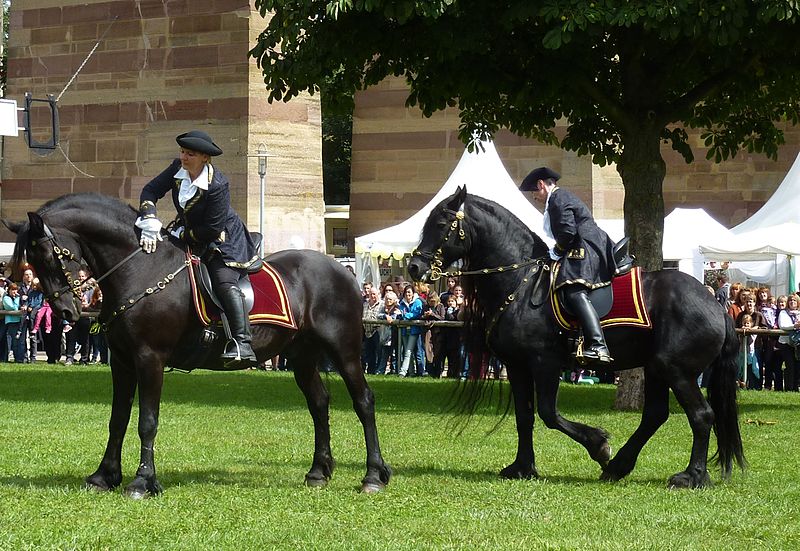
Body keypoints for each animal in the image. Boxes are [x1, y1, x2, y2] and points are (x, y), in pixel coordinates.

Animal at [4, 195, 392, 500]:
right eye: (31, 262)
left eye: (51, 255)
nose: (66, 311)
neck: (141, 267)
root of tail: (343, 271)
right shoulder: (122, 362)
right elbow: (118, 419)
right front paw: (105, 475)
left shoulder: (149, 358)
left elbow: (147, 421)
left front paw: (143, 482)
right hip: (302, 355)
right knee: (319, 403)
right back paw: (318, 471)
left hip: (345, 351)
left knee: (363, 402)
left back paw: (373, 475)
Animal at [410, 188, 748, 490]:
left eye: (440, 224)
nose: (414, 266)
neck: (521, 282)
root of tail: (715, 304)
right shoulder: (518, 366)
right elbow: (524, 416)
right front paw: (522, 467)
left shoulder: (544, 363)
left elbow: (548, 414)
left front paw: (598, 444)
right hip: (656, 368)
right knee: (655, 415)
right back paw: (619, 467)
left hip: (676, 370)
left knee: (701, 415)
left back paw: (691, 476)